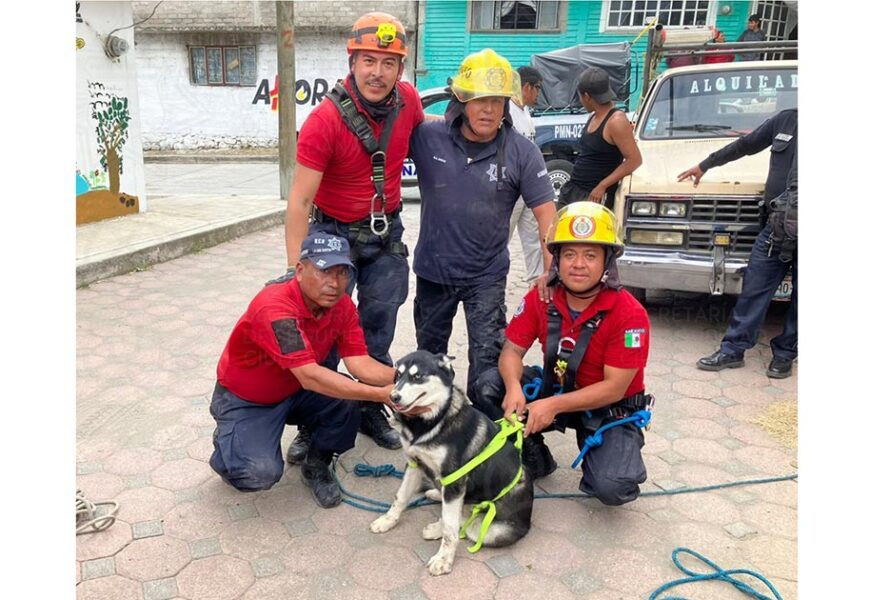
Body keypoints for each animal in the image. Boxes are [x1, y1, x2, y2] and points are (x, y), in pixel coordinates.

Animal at [372, 352, 536, 576]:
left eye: (417, 376)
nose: (393, 397)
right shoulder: (415, 463)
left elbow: (450, 528)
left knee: (465, 524)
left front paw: (444, 559)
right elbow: (401, 497)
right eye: (397, 375)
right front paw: (387, 521)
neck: (432, 420)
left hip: (492, 528)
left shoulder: (454, 480)